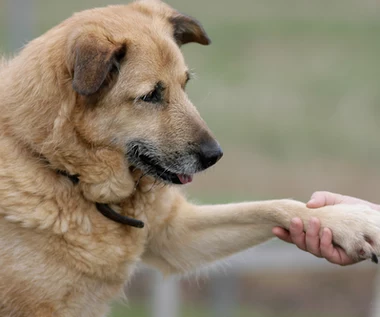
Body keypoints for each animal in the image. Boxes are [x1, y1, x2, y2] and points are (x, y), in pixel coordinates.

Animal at [0, 0, 380, 314]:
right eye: (151, 95)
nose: (215, 156)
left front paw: (348, 221)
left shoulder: (176, 235)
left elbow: (270, 205)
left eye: (185, 84)